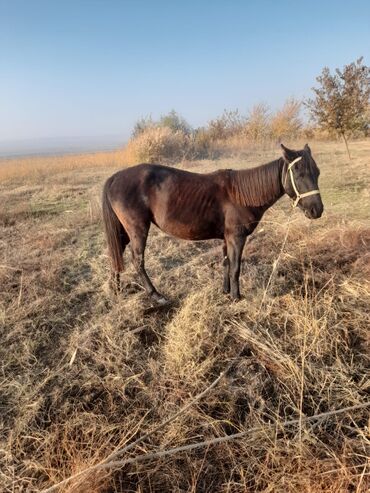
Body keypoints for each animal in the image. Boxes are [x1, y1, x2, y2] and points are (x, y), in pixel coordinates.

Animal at [102, 144, 322, 302]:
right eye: (299, 174)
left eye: (317, 172)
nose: (317, 210)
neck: (242, 195)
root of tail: (115, 177)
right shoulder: (236, 238)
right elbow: (235, 267)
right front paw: (236, 297)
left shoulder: (226, 238)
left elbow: (225, 264)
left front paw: (225, 292)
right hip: (137, 229)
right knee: (137, 260)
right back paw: (156, 295)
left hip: (123, 231)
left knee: (117, 253)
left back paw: (116, 289)